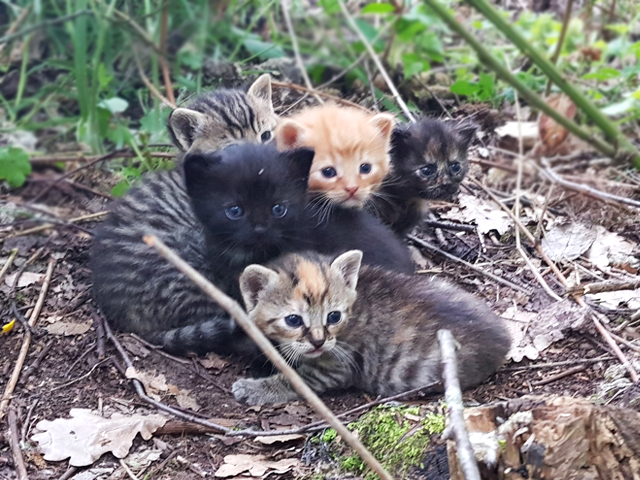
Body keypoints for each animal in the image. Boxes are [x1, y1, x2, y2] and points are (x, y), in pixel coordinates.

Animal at [231, 249, 510, 404]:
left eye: (333, 316)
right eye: (293, 320)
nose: (319, 341)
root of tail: (504, 337)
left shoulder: (335, 368)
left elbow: (296, 380)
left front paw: (254, 389)